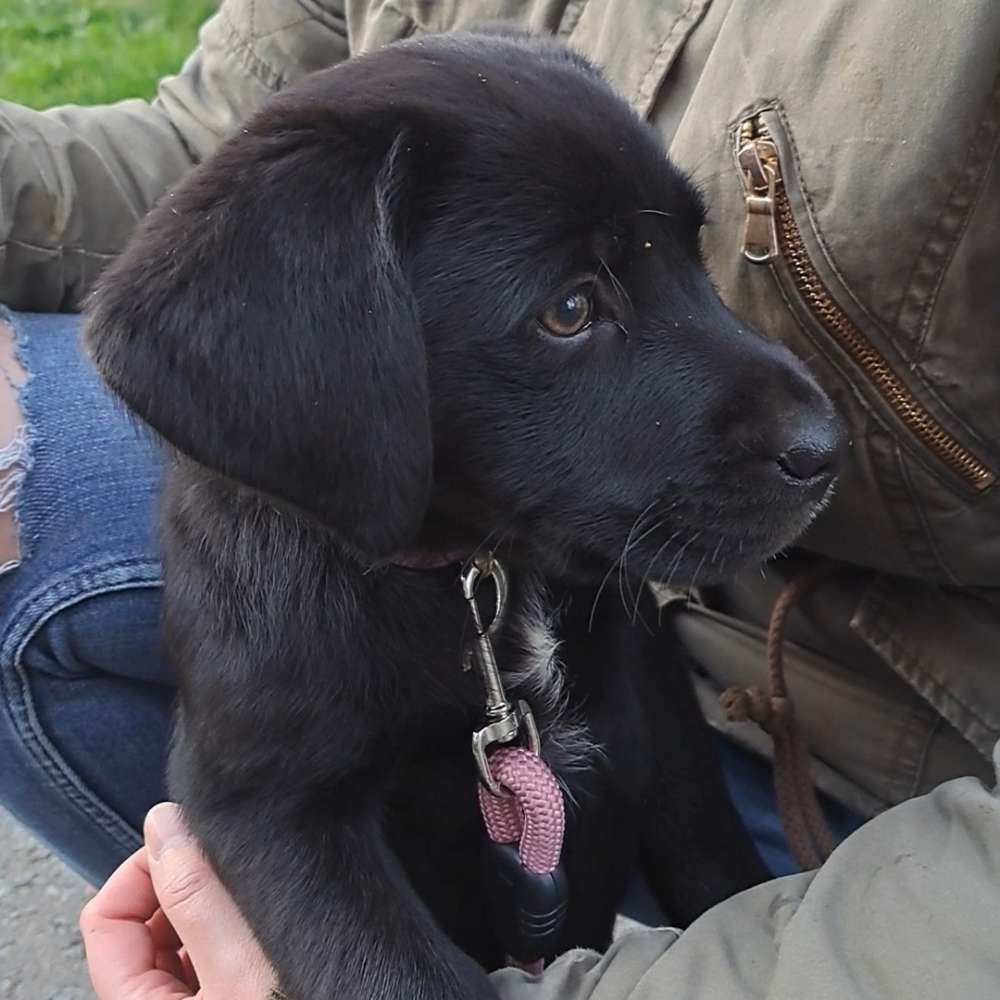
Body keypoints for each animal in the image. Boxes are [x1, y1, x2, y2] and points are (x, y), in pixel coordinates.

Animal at [84, 31, 844, 1000]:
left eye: (691, 252)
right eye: (570, 309)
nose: (826, 450)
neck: (482, 582)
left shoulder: (653, 690)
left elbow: (712, 851)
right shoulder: (264, 803)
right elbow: (393, 969)